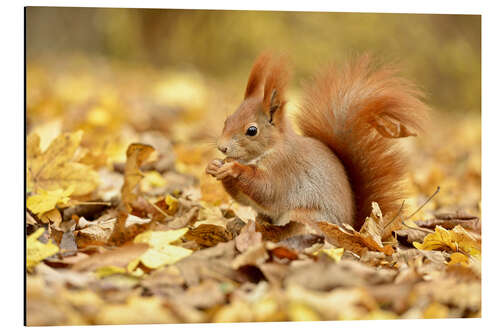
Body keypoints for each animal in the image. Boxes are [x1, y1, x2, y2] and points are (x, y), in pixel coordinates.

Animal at [205, 52, 428, 228]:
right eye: (227, 120)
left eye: (252, 130)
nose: (222, 148)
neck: (272, 148)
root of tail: (352, 228)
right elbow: (242, 198)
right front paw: (214, 166)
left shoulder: (284, 170)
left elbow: (266, 189)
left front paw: (234, 168)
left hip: (305, 217)